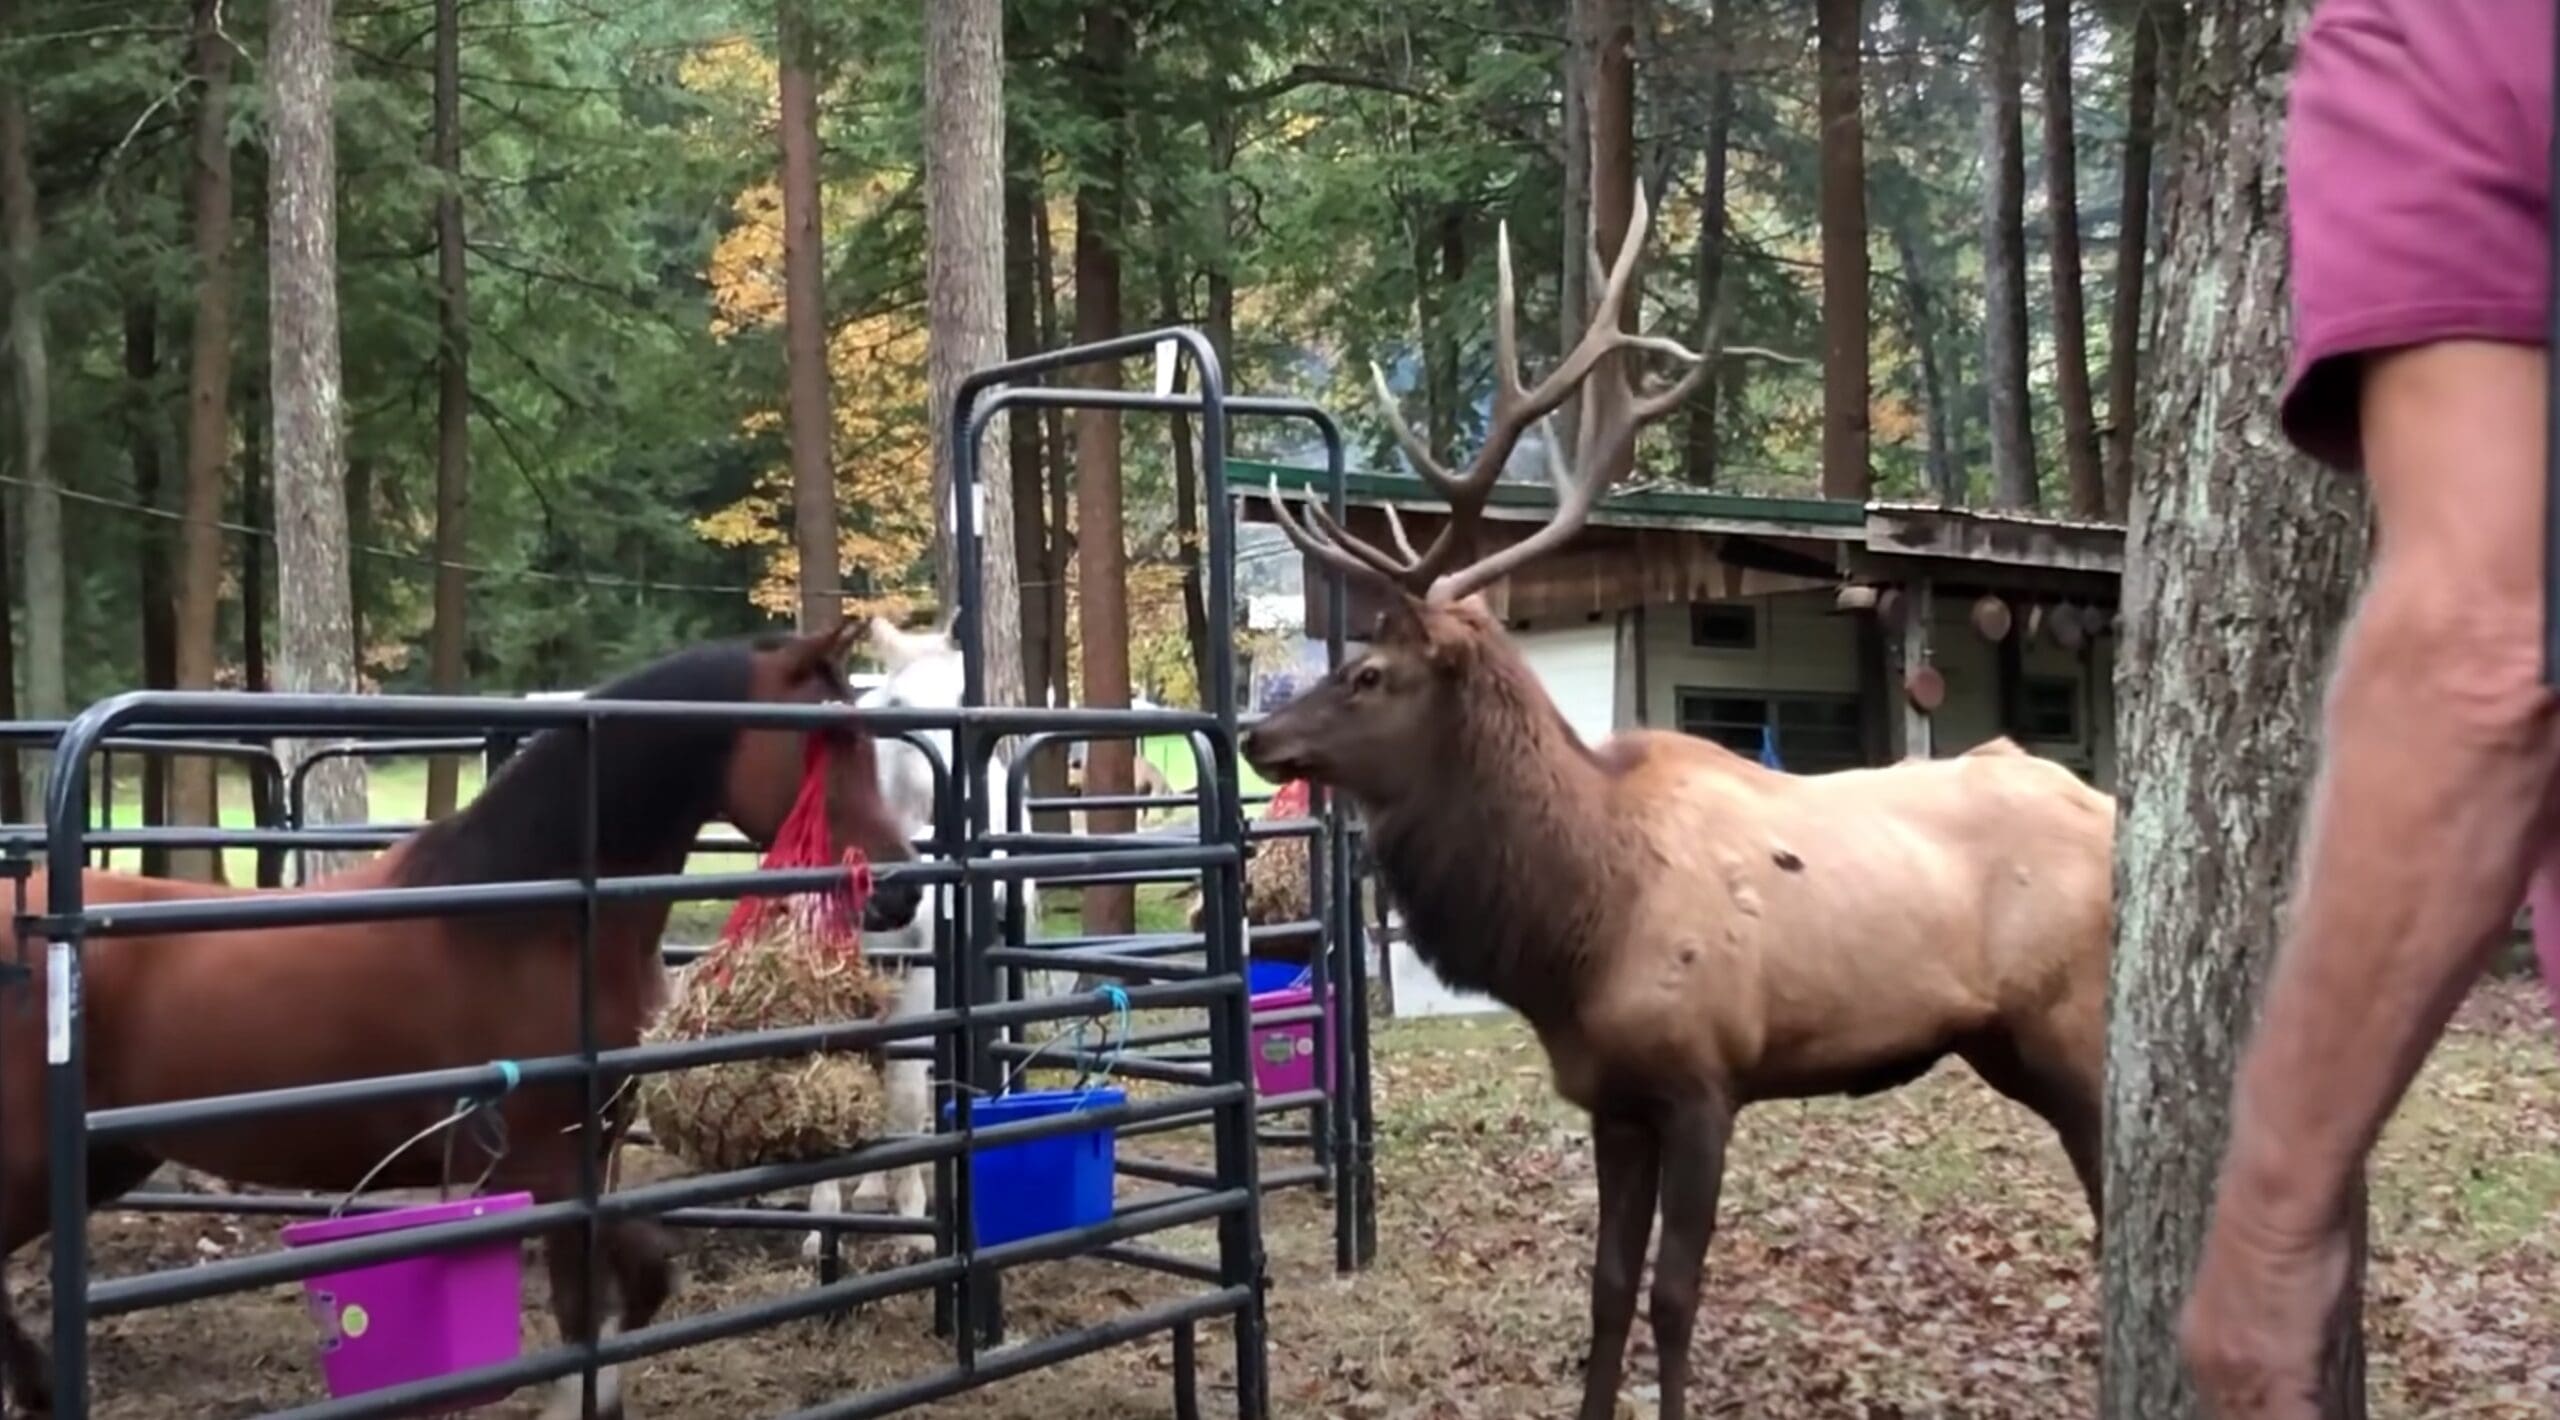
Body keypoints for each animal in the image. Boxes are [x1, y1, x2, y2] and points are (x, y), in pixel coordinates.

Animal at [0, 631, 921, 1420]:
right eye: (826, 741)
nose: (902, 889)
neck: (539, 917)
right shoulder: (541, 1164)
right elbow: (606, 1298)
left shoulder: (595, 1154)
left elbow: (628, 1289)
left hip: (106, 1157)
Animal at [803, 616, 1075, 1263]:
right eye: (896, 707)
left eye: (960, 697)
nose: (961, 801)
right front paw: (821, 1226)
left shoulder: (917, 986)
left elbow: (905, 1096)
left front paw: (912, 1226)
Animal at [1244, 186, 2119, 1420]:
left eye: (1368, 674)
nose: (1254, 735)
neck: (1573, 928)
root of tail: (2110, 807)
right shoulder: (1612, 1097)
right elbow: (1608, 1286)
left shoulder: (1707, 1078)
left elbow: (1672, 1292)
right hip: (2007, 1037)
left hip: (2068, 1019)